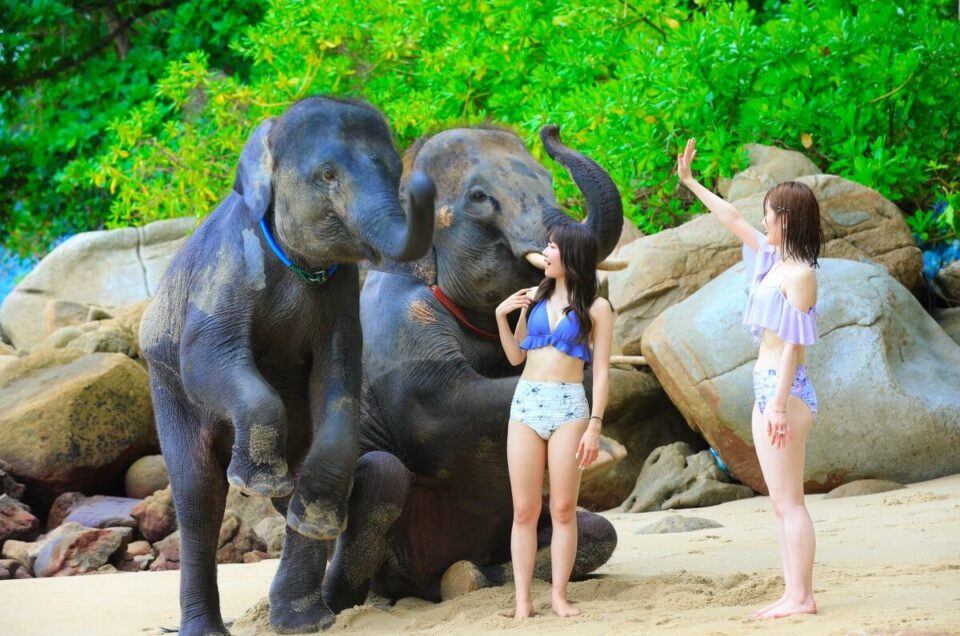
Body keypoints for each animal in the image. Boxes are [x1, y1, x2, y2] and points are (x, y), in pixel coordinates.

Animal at [138, 96, 435, 635]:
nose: (423, 184)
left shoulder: (342, 299)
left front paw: (310, 515)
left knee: (383, 475)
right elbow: (205, 357)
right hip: (164, 389)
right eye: (327, 174)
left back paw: (308, 612)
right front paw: (254, 483)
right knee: (197, 496)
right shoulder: (228, 265)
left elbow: (339, 380)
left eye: (392, 167)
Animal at [322, 125, 624, 609]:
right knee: (385, 477)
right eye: (480, 197)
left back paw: (476, 577)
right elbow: (439, 411)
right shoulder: (399, 325)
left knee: (601, 529)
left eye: (548, 179)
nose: (551, 130)